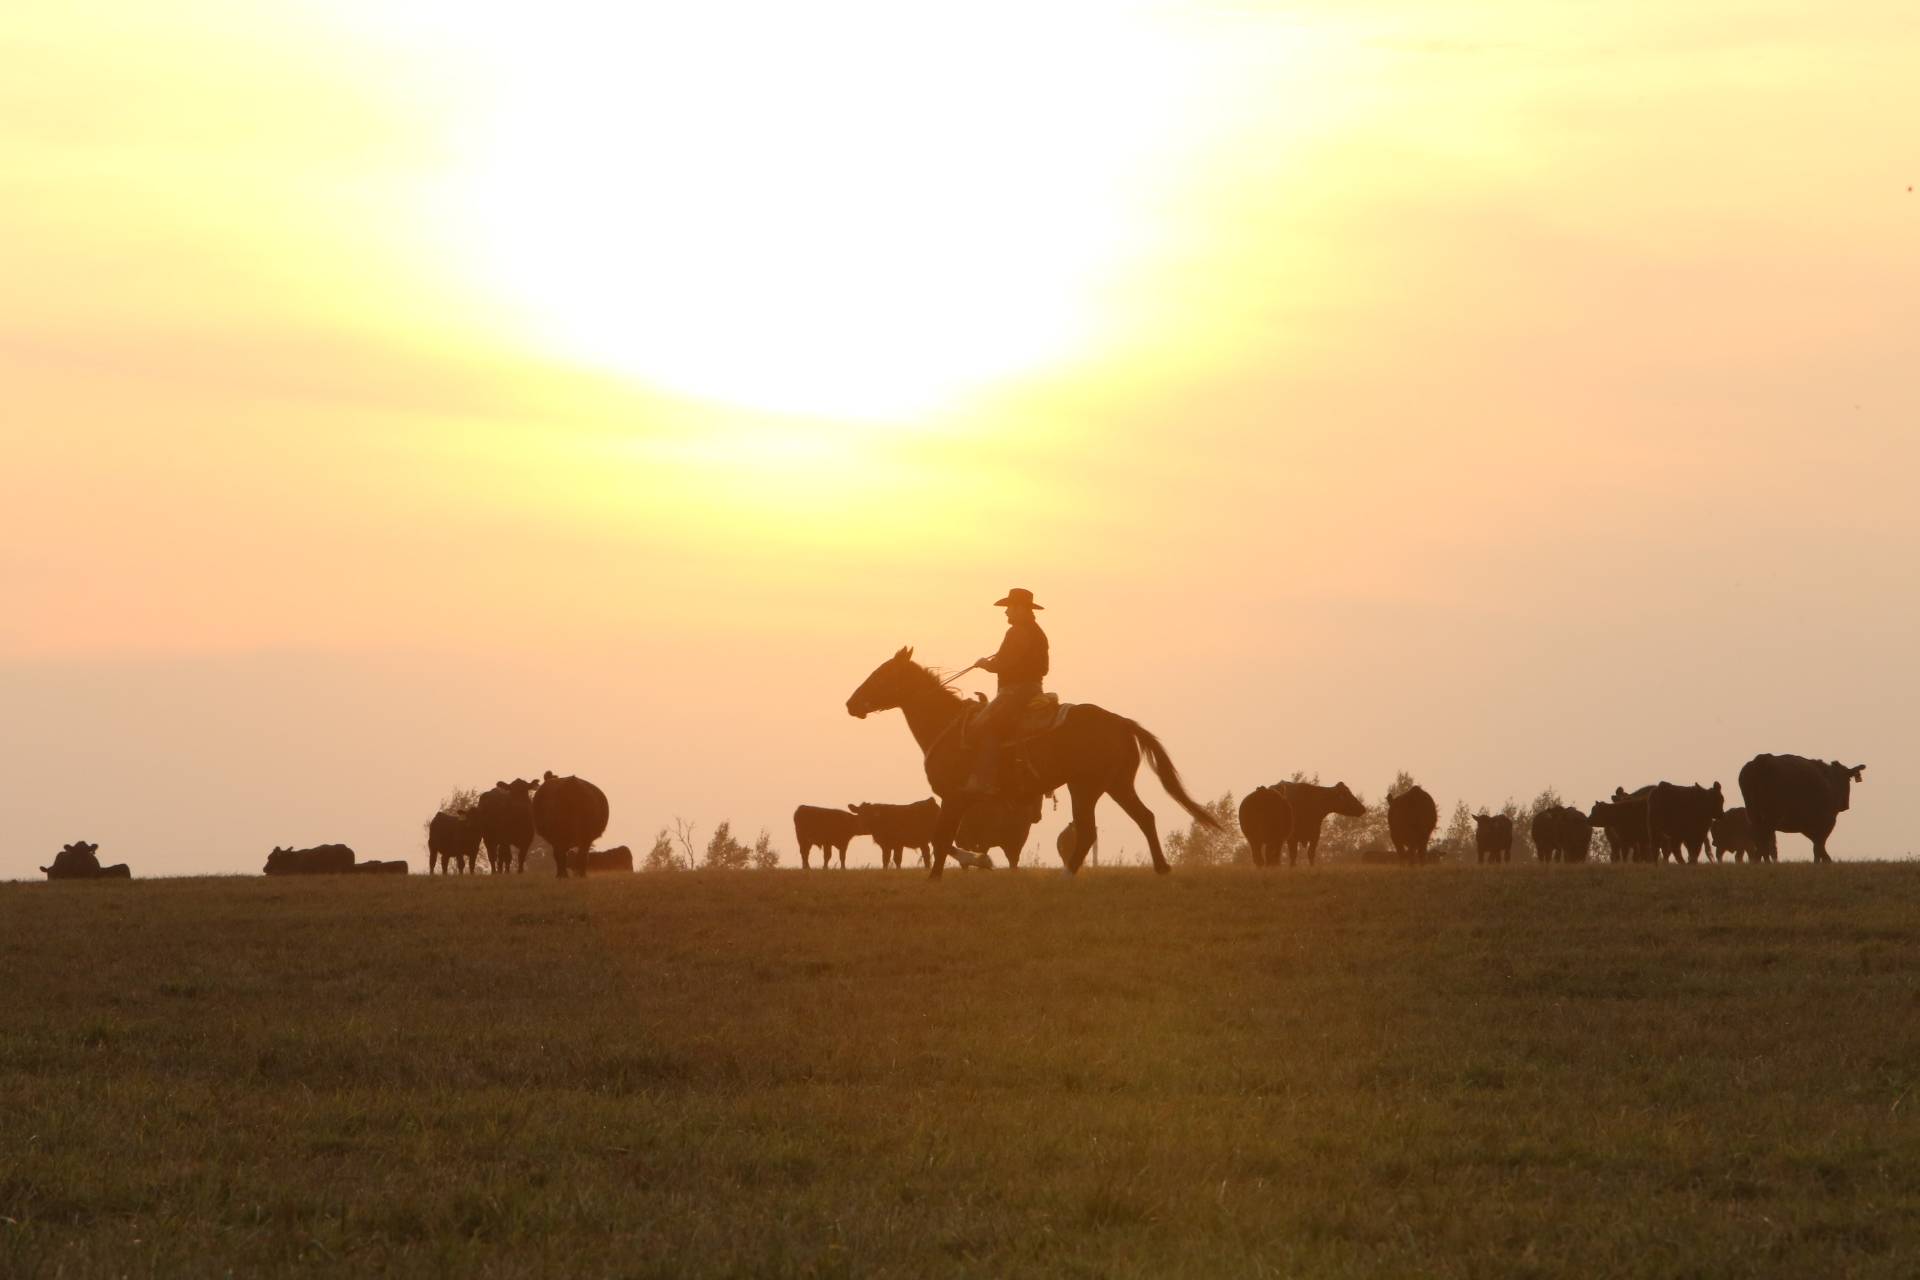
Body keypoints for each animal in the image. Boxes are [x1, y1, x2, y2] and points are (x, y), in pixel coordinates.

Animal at [840, 644, 1213, 875]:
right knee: (1144, 818)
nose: (851, 703)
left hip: (1085, 787)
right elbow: (943, 838)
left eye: (882, 674)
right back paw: (1161, 868)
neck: (945, 723)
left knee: (1089, 831)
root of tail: (1120, 721)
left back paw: (1068, 874)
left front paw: (957, 869)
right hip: (1115, 784)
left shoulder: (954, 797)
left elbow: (942, 838)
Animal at [1735, 756, 1866, 867]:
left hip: (1753, 814)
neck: (1831, 780)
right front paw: (1824, 862)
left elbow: (1817, 845)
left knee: (1759, 837)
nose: (1845, 805)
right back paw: (1763, 862)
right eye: (1848, 779)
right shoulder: (1828, 821)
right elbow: (1819, 844)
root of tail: (1762, 760)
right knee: (1764, 837)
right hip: (1771, 815)